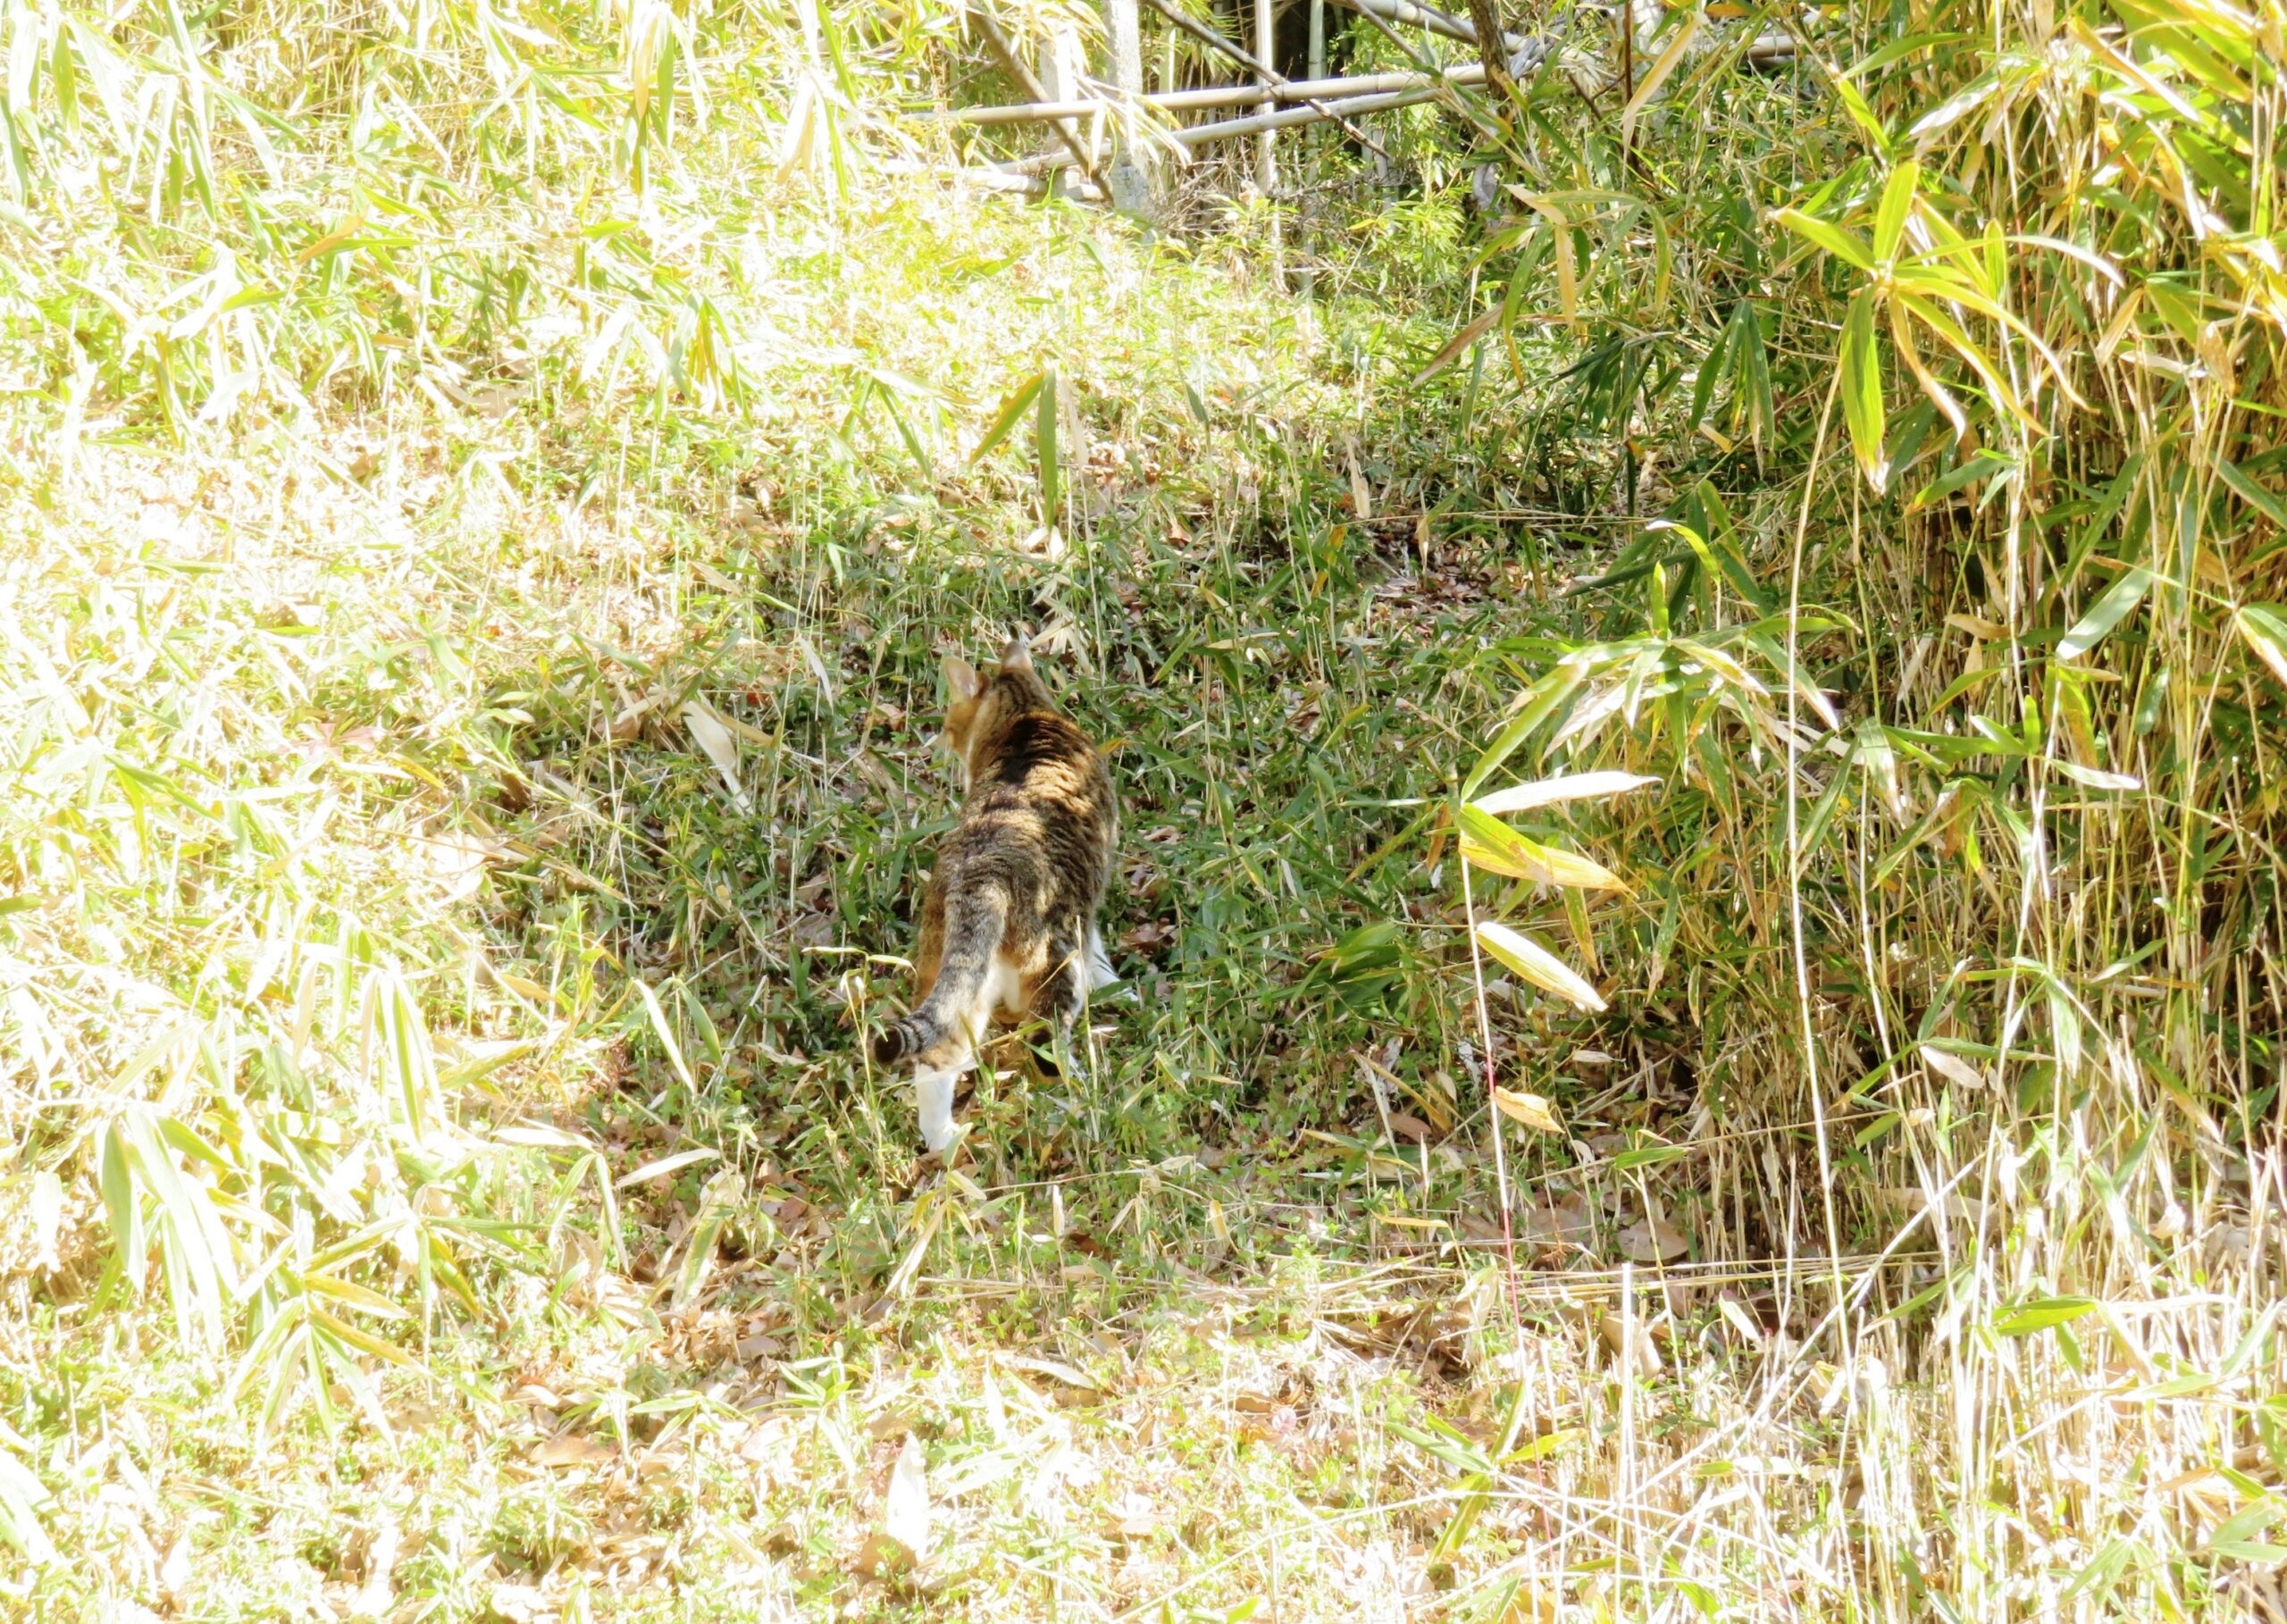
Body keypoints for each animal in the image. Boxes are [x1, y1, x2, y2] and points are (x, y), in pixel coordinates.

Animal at [868, 635, 1120, 1157]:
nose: (942, 739)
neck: (1025, 719)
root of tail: (983, 875)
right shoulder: (1090, 902)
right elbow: (1099, 947)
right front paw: (1114, 984)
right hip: (1055, 966)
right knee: (1046, 1051)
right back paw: (1082, 1100)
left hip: (955, 980)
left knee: (935, 1062)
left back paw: (944, 1143)